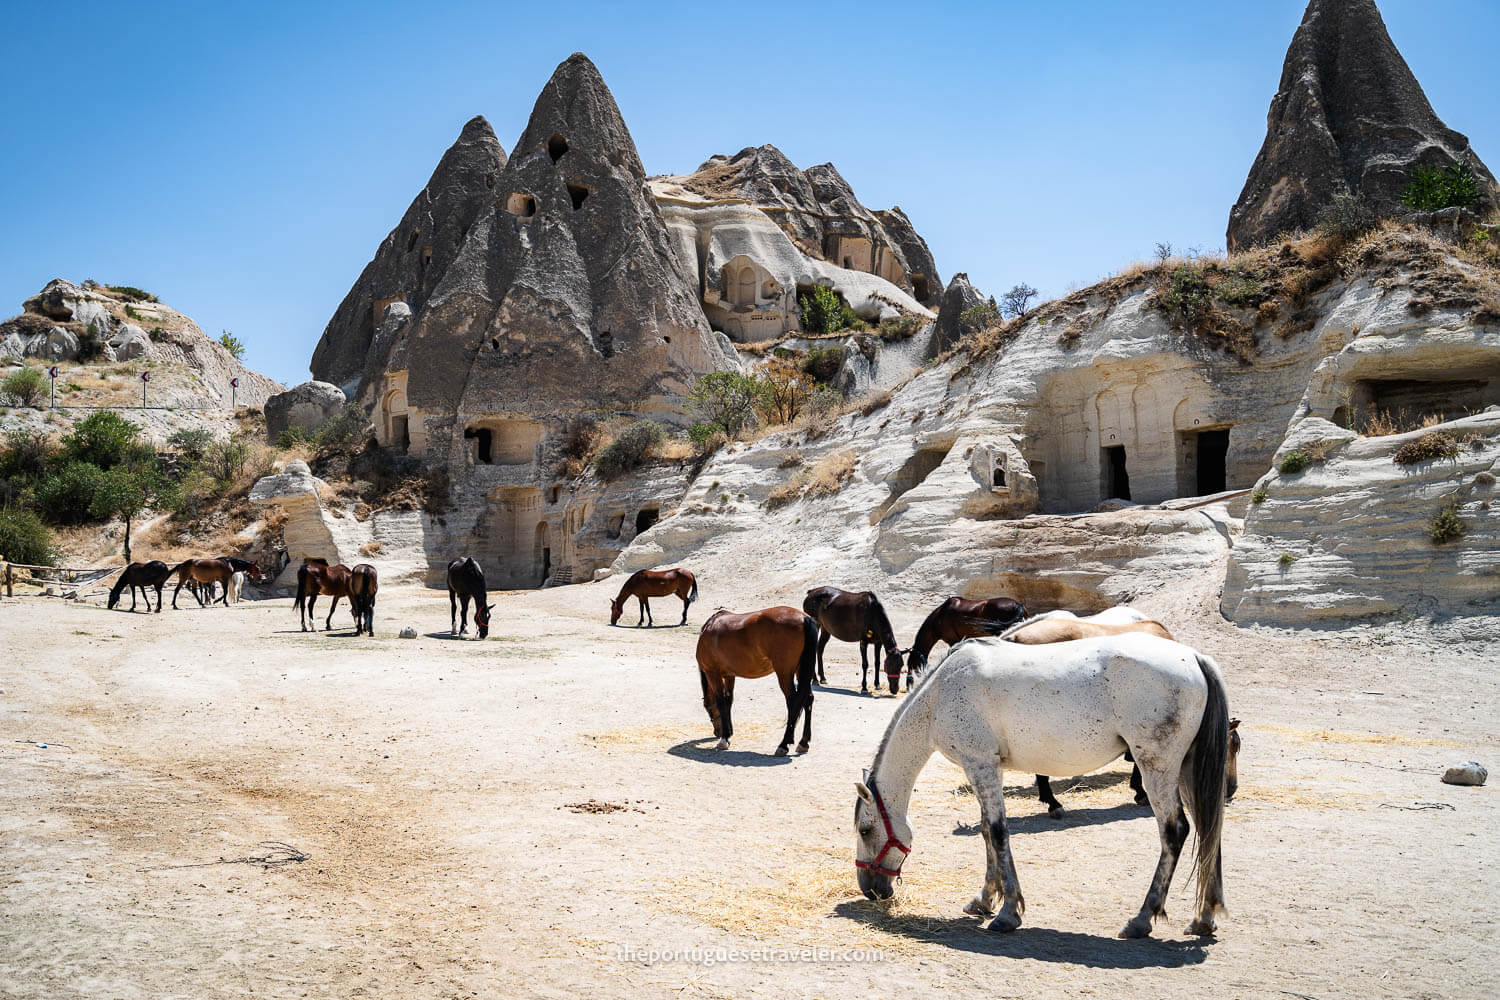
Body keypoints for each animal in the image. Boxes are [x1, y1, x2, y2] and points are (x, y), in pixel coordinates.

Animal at [696, 607, 817, 756]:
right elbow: (729, 700)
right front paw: (729, 734)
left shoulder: (713, 674)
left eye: (708, 709)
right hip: (801, 671)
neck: (710, 627)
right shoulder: (729, 675)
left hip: (785, 674)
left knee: (792, 702)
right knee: (808, 700)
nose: (717, 732)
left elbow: (721, 702)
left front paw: (724, 739)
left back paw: (783, 745)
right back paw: (803, 743)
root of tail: (804, 618)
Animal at [853, 632, 1230, 939]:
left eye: (864, 830)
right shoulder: (988, 768)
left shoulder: (979, 764)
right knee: (1209, 830)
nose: (871, 890)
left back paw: (1141, 919)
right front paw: (985, 899)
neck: (939, 695)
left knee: (1175, 830)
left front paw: (1007, 913)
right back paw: (1204, 918)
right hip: (1187, 769)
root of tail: (1195, 658)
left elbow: (997, 832)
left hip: (1157, 768)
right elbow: (986, 831)